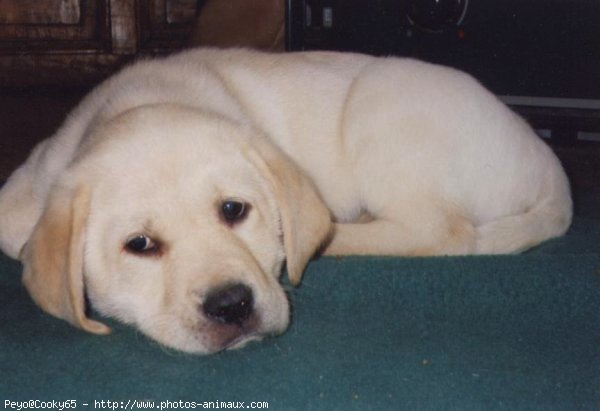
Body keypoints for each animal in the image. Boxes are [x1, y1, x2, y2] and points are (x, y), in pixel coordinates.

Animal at [0, 49, 572, 354]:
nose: (231, 306)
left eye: (234, 210)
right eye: (139, 245)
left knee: (440, 231)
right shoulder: (33, 182)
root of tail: (550, 165)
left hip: (379, 102)